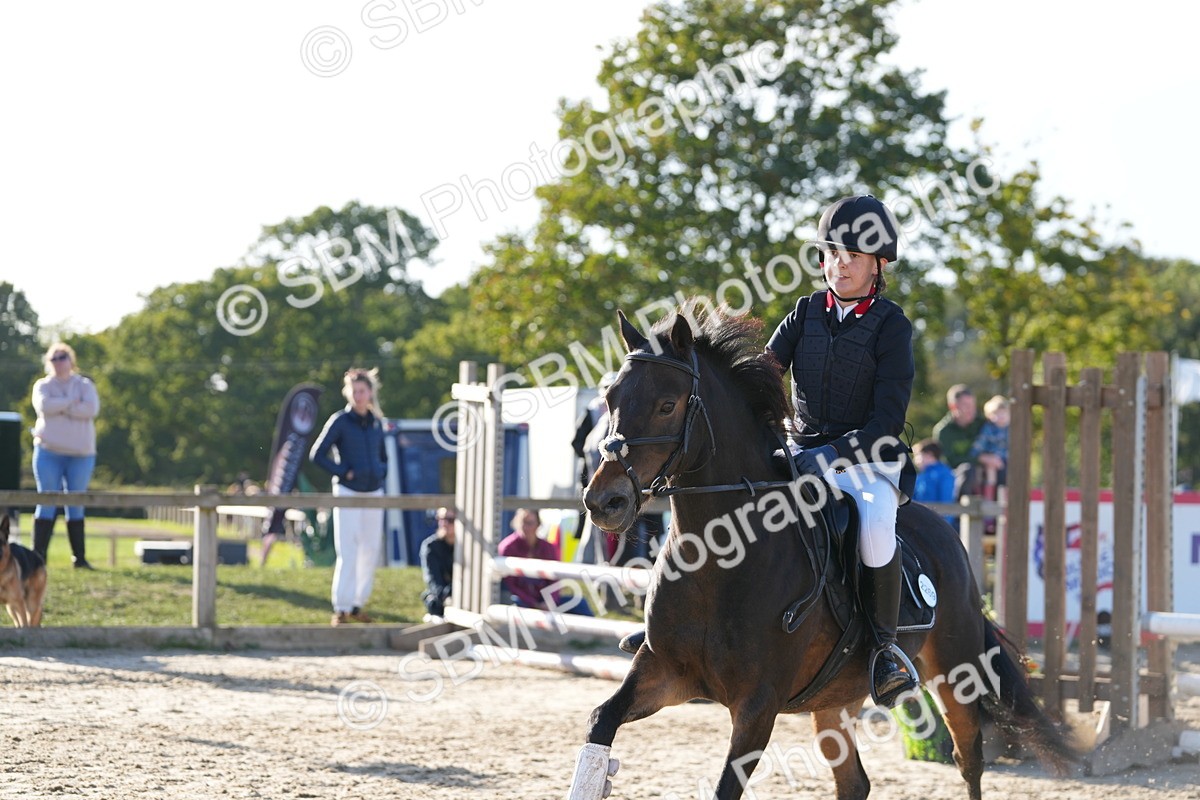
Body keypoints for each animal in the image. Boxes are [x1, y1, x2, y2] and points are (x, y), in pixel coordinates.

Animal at [568, 307, 1073, 800]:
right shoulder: (663, 671)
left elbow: (725, 787)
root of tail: (947, 534)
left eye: (667, 405)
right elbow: (599, 722)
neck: (717, 557)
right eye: (610, 400)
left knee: (968, 760)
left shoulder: (758, 706)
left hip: (955, 673)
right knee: (855, 782)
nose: (604, 501)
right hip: (836, 697)